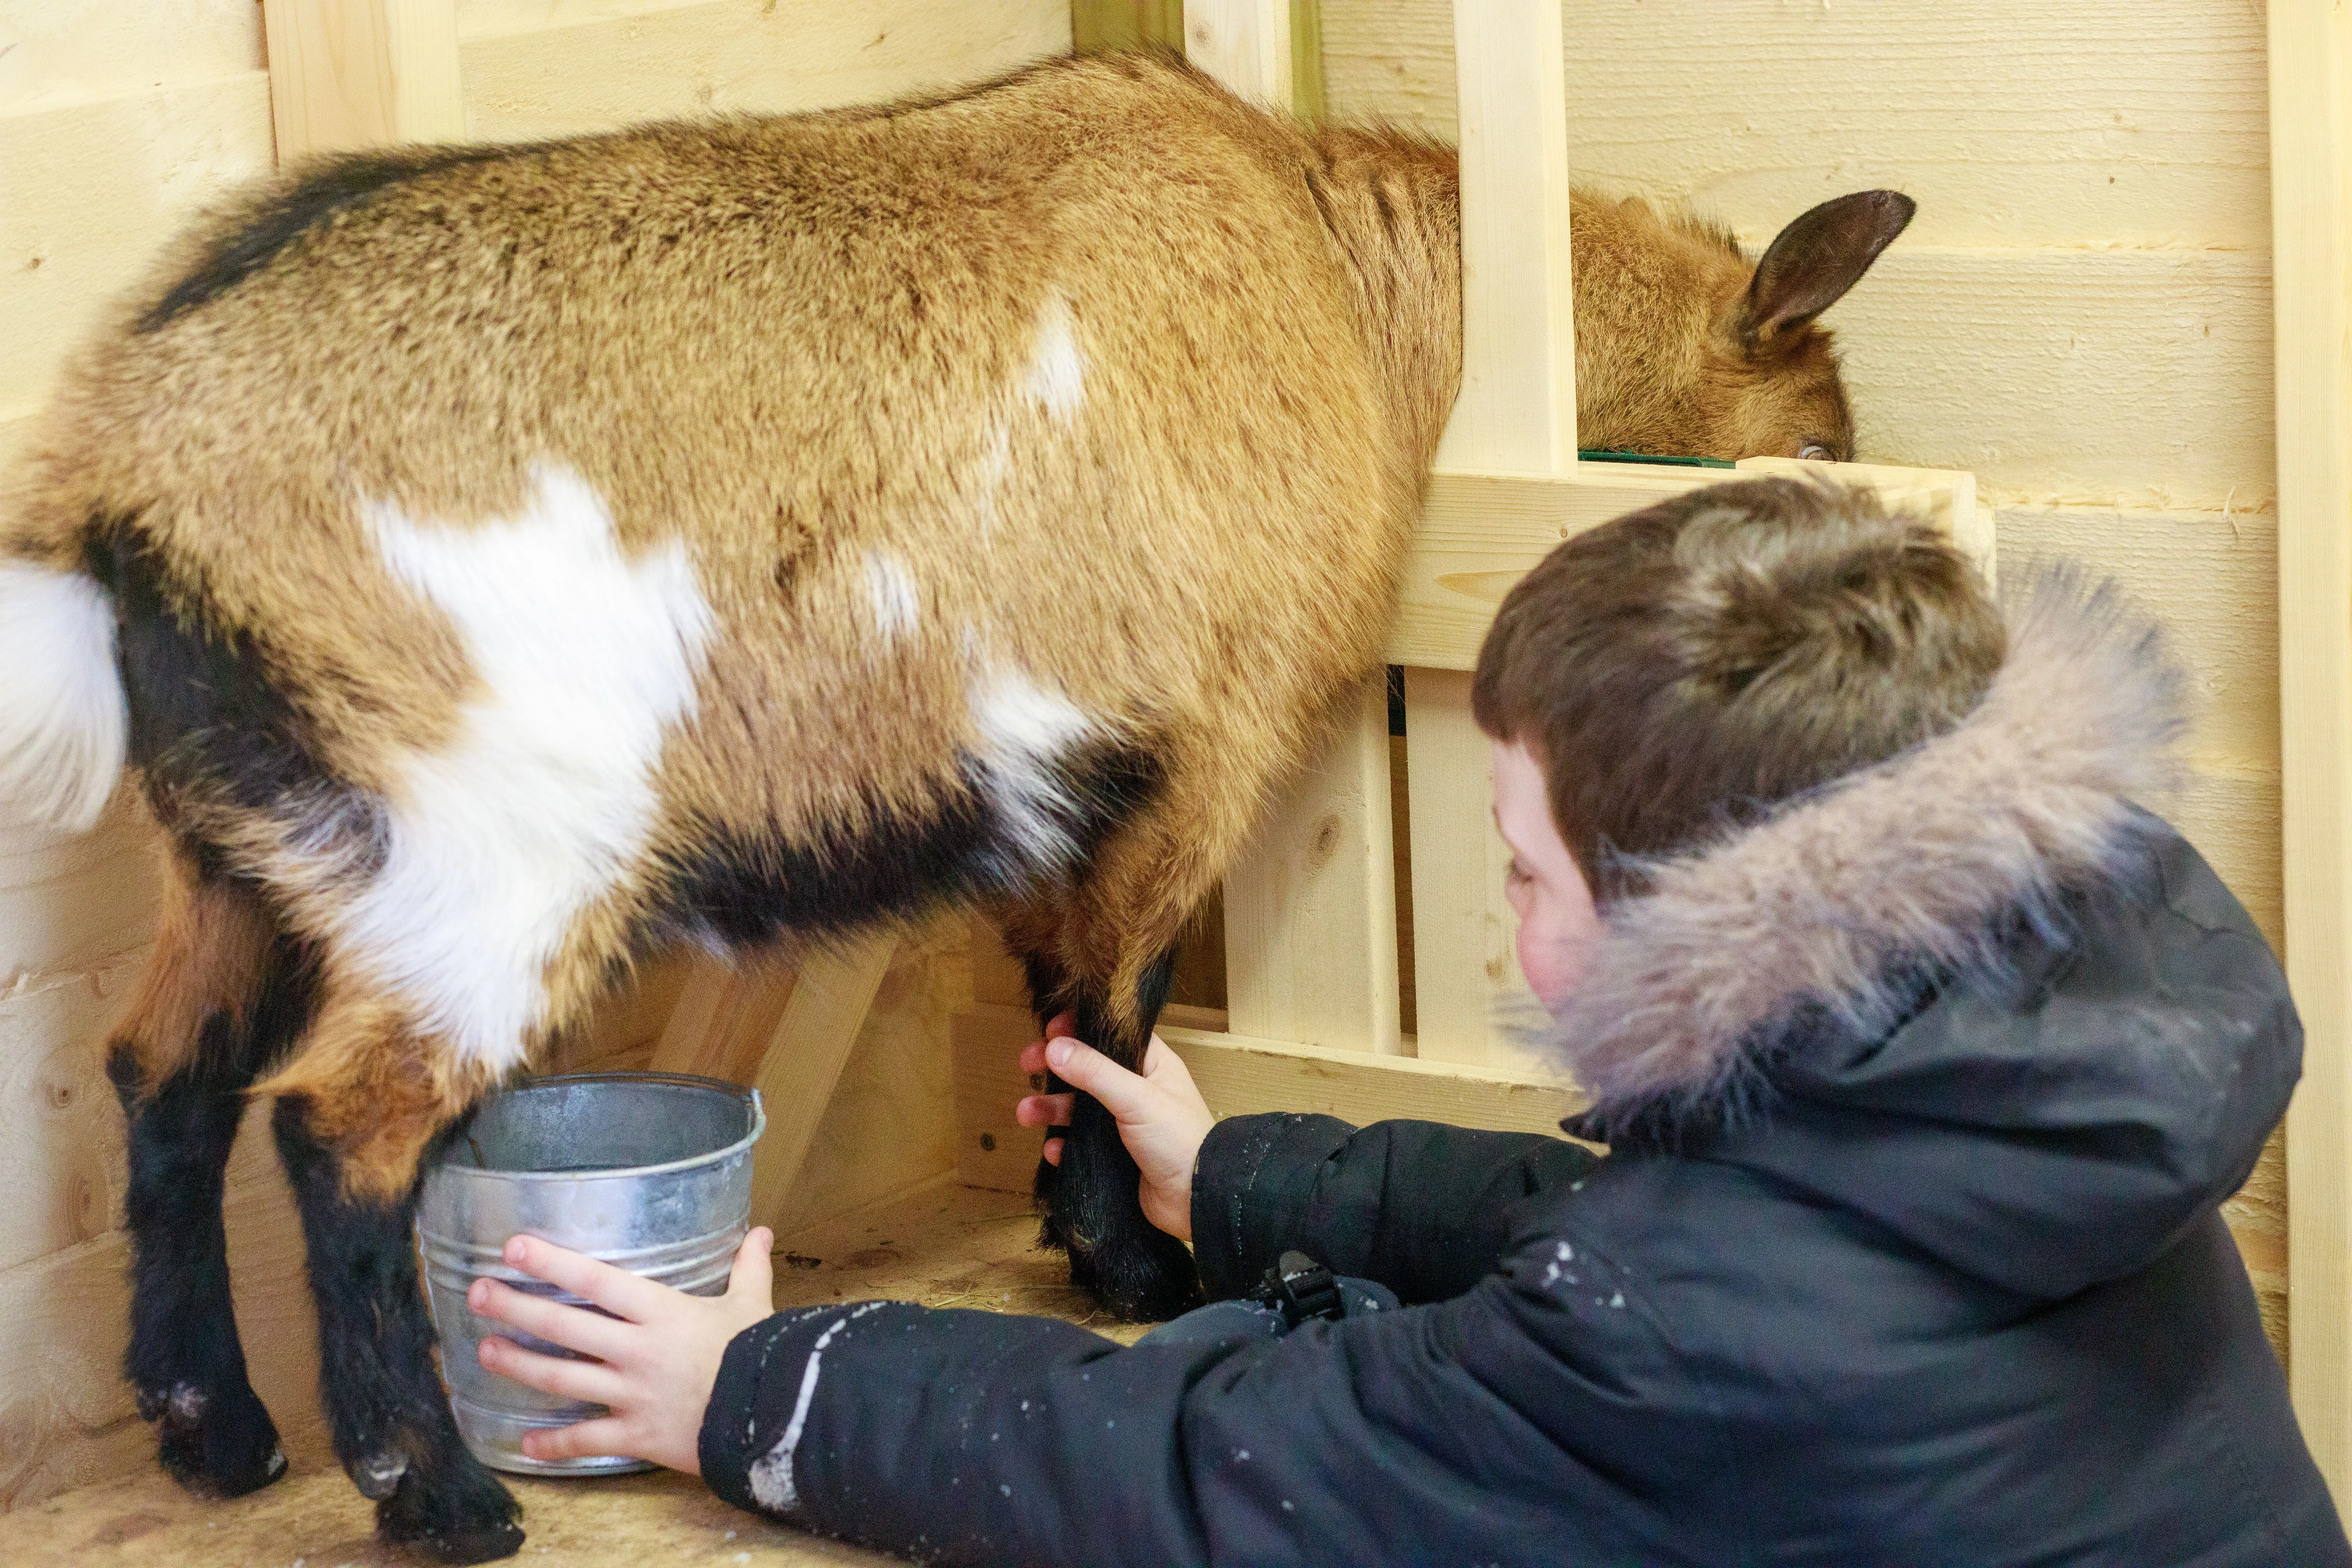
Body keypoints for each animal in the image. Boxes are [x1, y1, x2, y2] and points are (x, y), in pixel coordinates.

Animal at [0, 51, 1911, 1563]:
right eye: (1816, 440)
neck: (1345, 275)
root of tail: (124, 467)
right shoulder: (1200, 740)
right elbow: (1113, 1005)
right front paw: (1128, 1268)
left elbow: (1061, 1009)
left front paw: (1095, 1226)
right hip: (487, 849)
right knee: (334, 1126)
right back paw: (436, 1491)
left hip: (241, 846)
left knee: (162, 1080)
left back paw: (219, 1430)